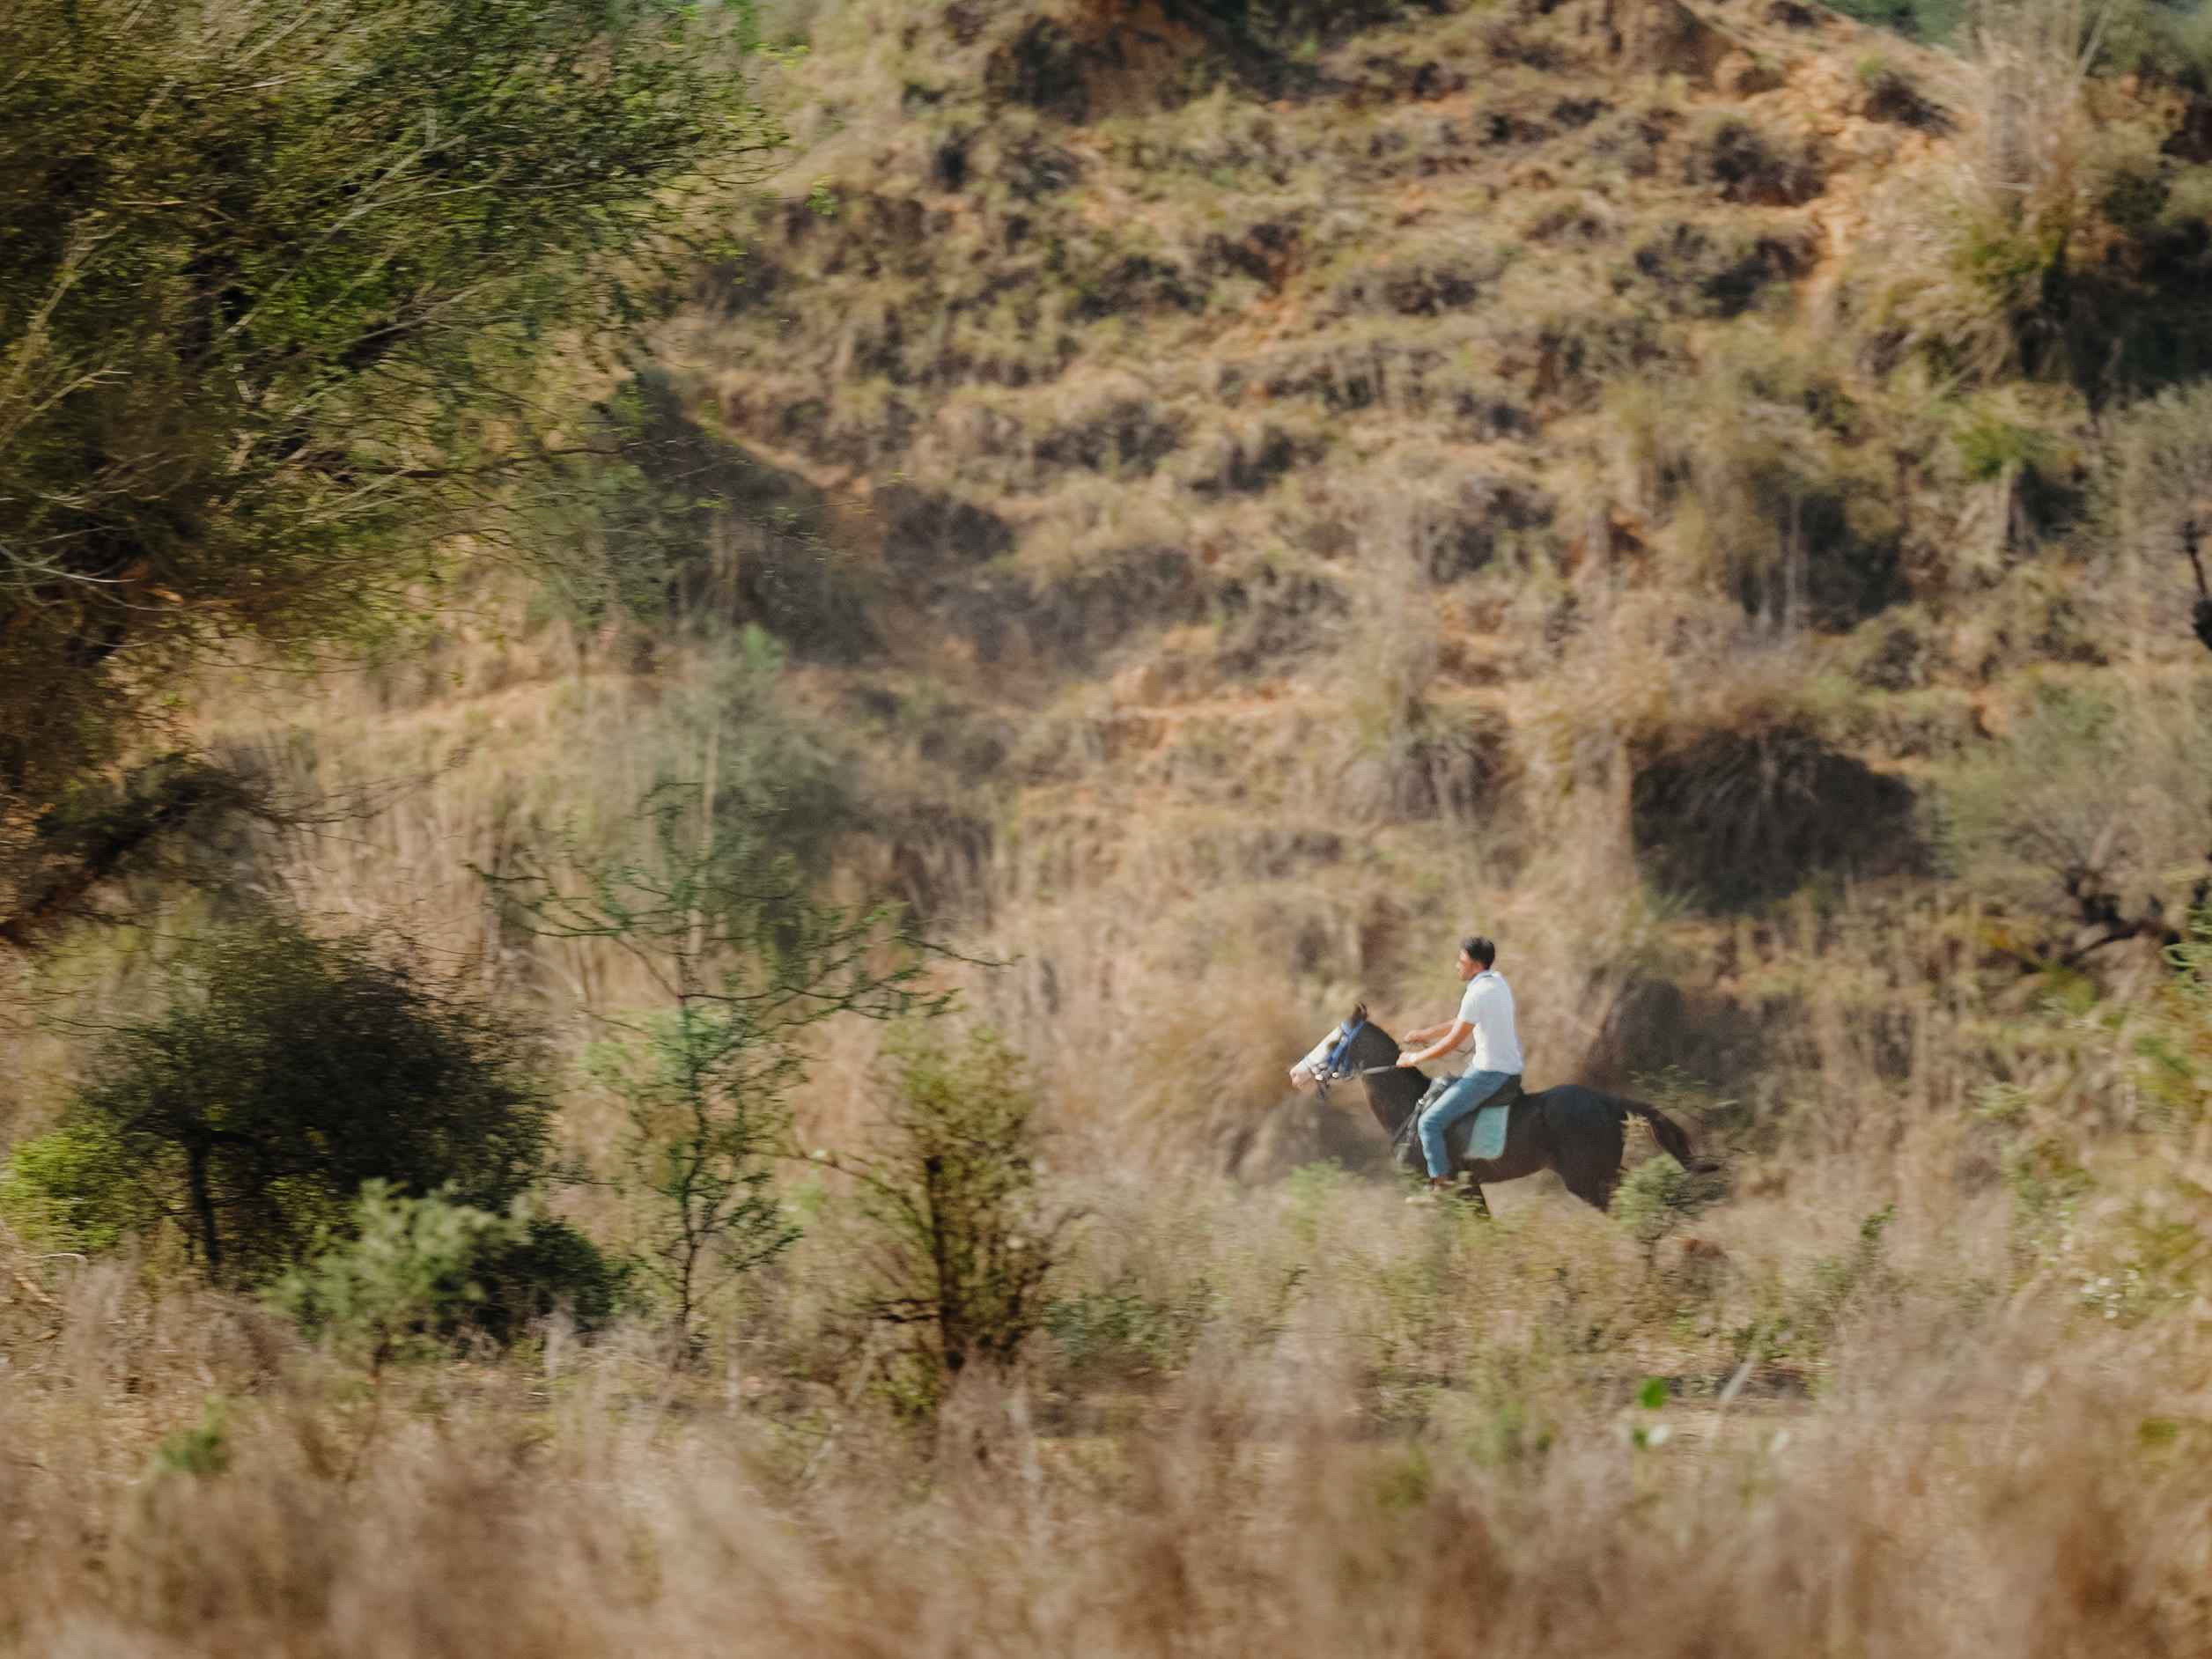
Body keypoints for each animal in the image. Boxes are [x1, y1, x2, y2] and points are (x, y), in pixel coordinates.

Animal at [1287, 1003, 1701, 1215]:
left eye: (1333, 1043)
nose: (1295, 1074)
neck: (1410, 1109)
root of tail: (1607, 1100)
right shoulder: (1470, 1189)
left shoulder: (1448, 1188)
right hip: (1601, 1172)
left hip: (1588, 1178)